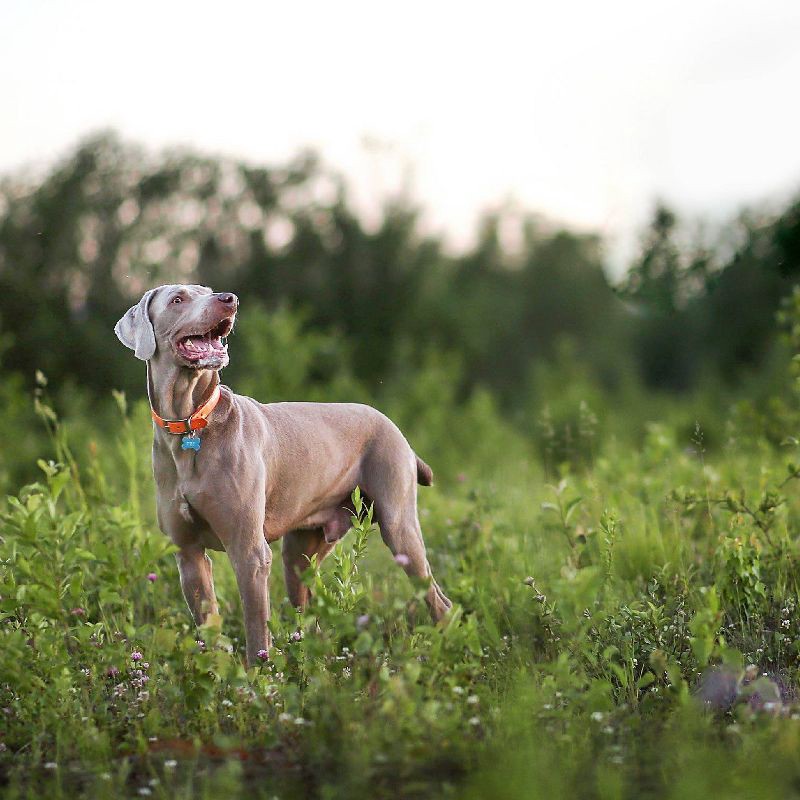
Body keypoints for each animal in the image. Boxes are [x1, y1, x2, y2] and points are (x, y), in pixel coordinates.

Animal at [113, 284, 454, 664]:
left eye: (208, 291)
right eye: (178, 299)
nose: (229, 299)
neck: (189, 422)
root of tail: (396, 429)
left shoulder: (249, 552)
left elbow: (256, 634)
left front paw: (254, 676)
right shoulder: (188, 554)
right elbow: (209, 626)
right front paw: (214, 671)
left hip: (398, 524)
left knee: (438, 600)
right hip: (301, 553)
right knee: (312, 614)